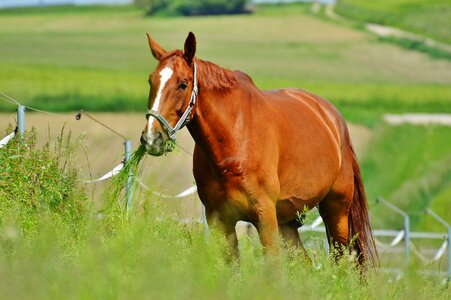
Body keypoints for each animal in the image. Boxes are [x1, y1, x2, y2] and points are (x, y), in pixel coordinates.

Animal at [140, 31, 378, 264]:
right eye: (151, 81)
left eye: (182, 83)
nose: (151, 138)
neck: (233, 142)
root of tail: (333, 119)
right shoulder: (220, 221)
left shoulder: (265, 217)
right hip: (288, 221)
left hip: (336, 212)